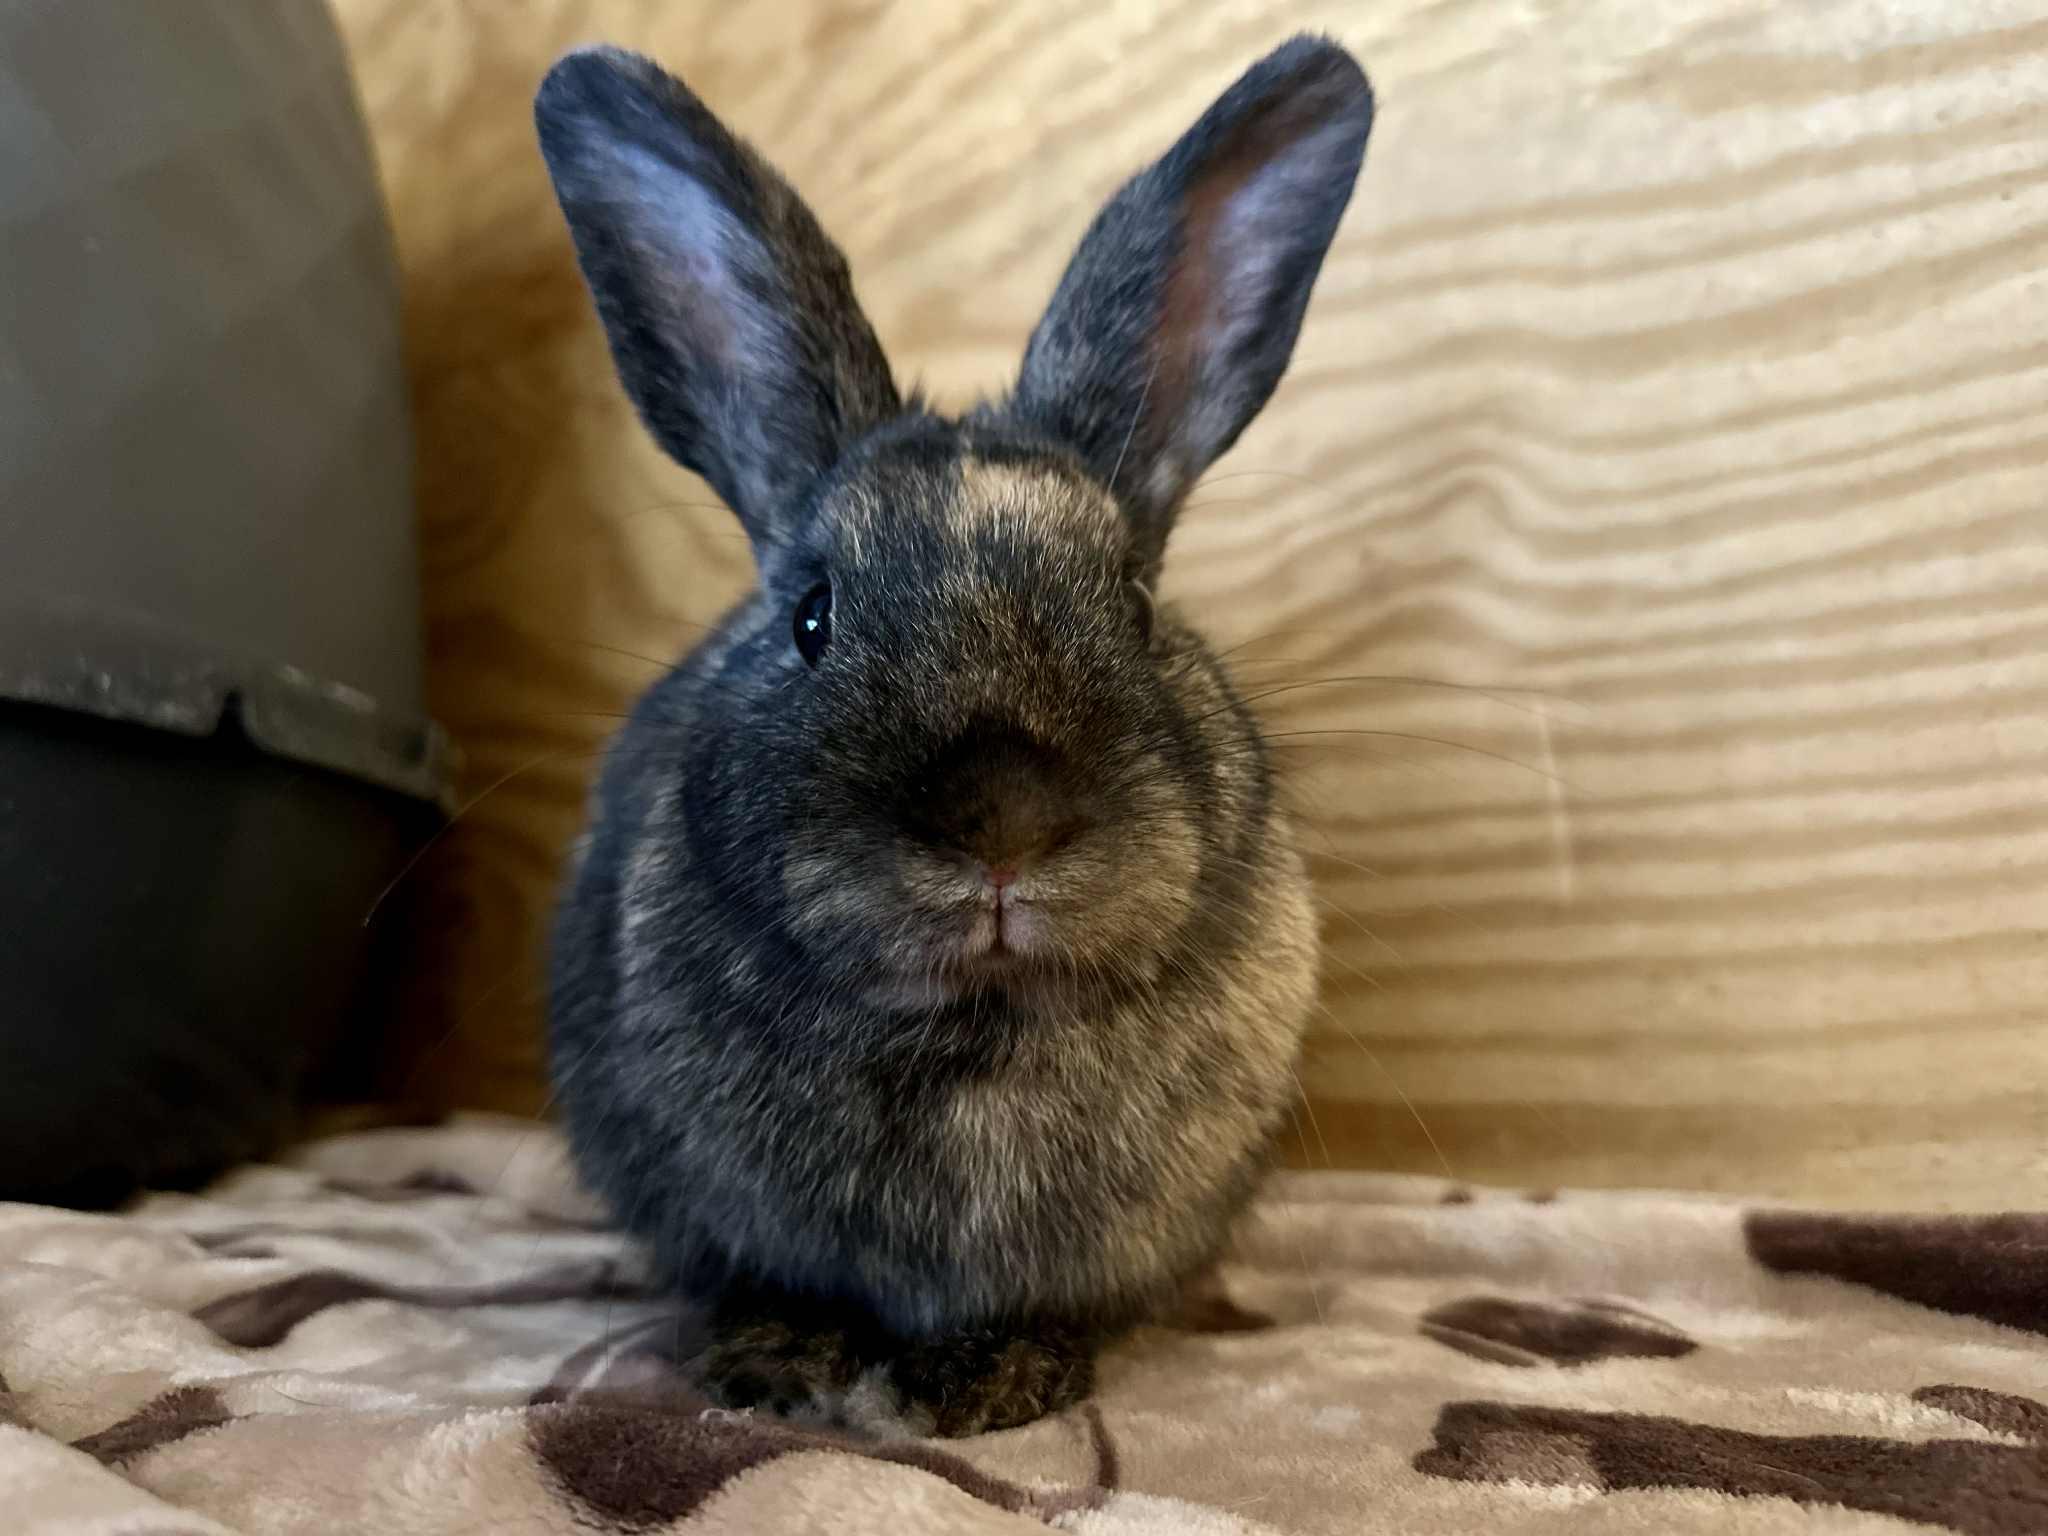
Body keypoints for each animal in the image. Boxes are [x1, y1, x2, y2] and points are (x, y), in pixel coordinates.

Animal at [536, 33, 1372, 1437]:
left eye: (1136, 606)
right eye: (811, 615)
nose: (1000, 821)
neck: (971, 1033)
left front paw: (992, 1381)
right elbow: (772, 1289)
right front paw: (771, 1372)